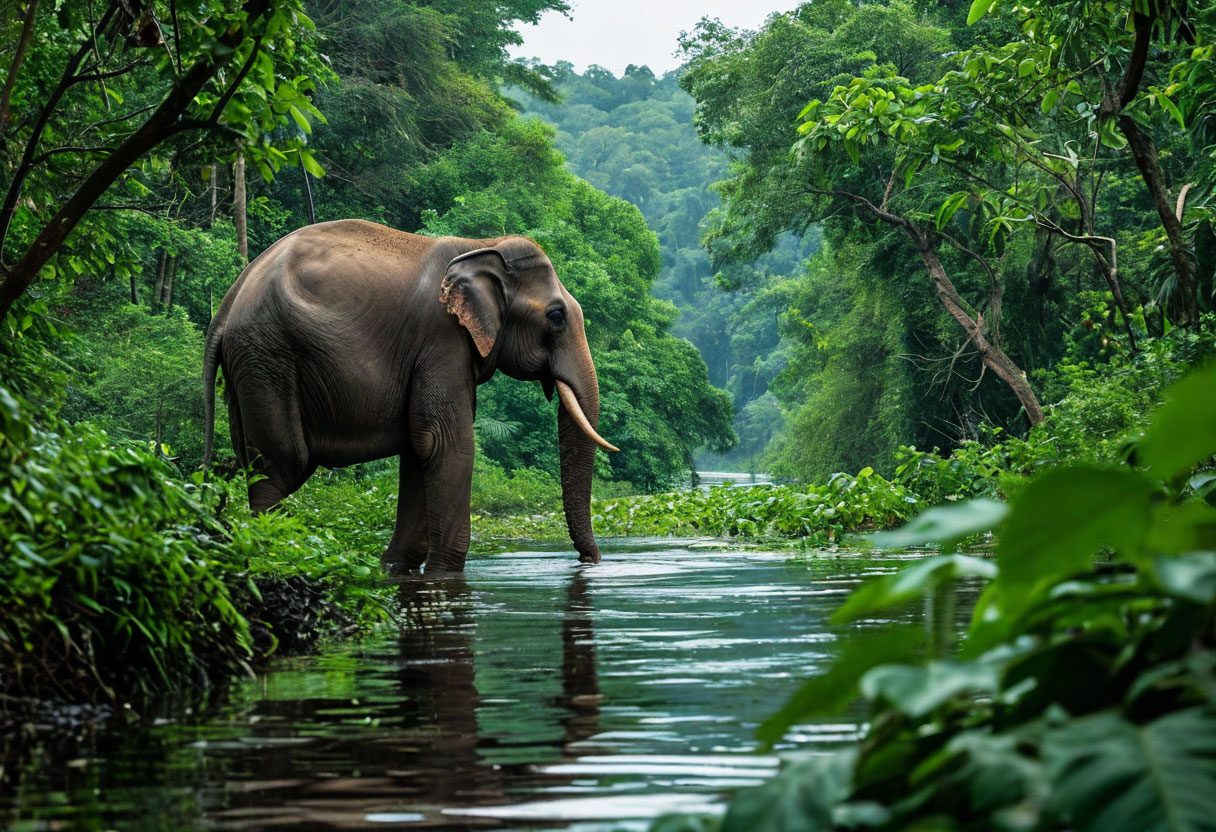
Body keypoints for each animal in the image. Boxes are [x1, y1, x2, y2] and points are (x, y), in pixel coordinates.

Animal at [201, 219, 618, 573]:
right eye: (556, 317)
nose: (589, 561)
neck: (481, 245)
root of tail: (225, 305)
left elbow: (420, 450)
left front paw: (396, 567)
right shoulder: (441, 341)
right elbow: (445, 444)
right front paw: (443, 572)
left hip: (249, 366)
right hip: (268, 357)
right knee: (280, 464)